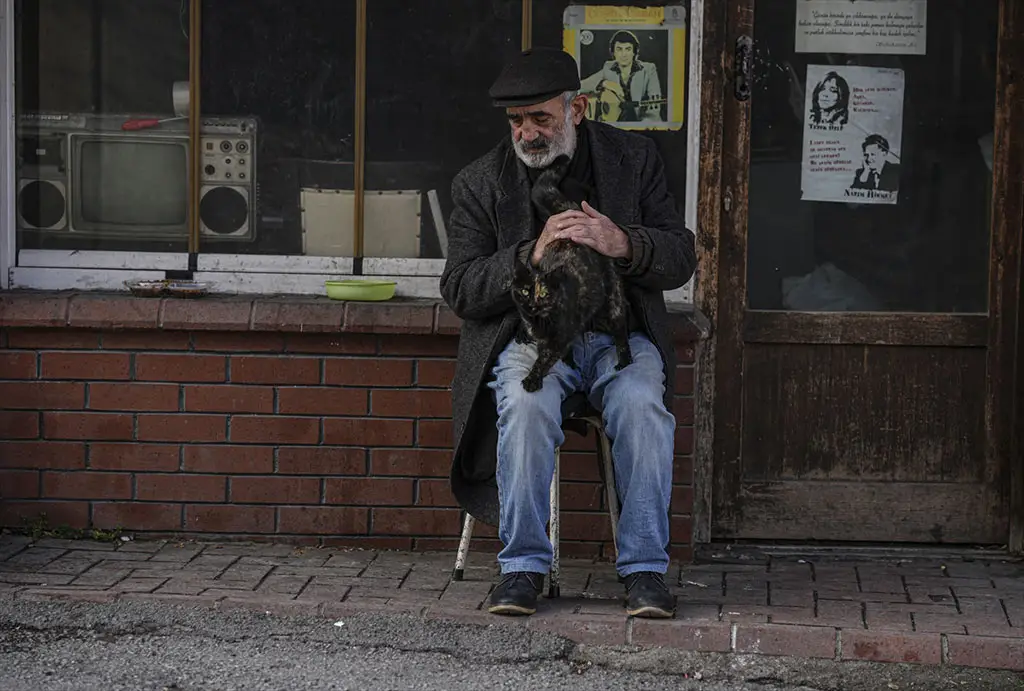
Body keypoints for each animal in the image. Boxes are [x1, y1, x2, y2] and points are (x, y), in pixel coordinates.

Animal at [512, 154, 630, 391]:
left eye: (544, 293)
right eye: (525, 291)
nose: (532, 304)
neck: (537, 322)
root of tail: (568, 209)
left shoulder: (559, 338)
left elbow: (545, 358)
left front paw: (533, 379)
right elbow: (549, 353)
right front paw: (567, 362)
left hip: (613, 302)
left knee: (621, 330)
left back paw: (625, 361)